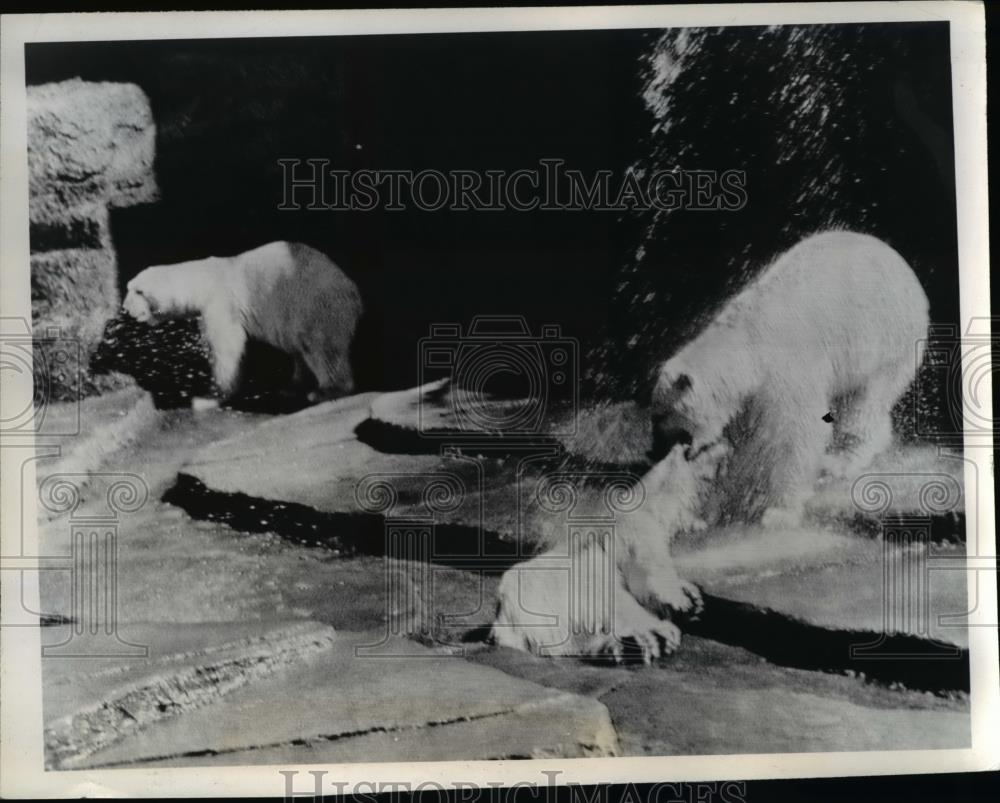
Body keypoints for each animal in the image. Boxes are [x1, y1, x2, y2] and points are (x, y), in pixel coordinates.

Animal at [121, 239, 364, 402]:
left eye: (137, 291)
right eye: (129, 288)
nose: (125, 308)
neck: (200, 282)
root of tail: (352, 289)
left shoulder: (221, 303)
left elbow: (227, 344)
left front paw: (214, 392)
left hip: (316, 304)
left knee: (322, 347)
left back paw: (327, 390)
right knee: (299, 347)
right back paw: (293, 385)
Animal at [492, 229, 928, 664]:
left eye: (663, 419)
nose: (654, 452)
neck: (744, 344)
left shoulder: (786, 375)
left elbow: (794, 437)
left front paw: (776, 513)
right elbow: (727, 457)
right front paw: (704, 512)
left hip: (883, 332)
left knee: (864, 401)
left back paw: (841, 461)